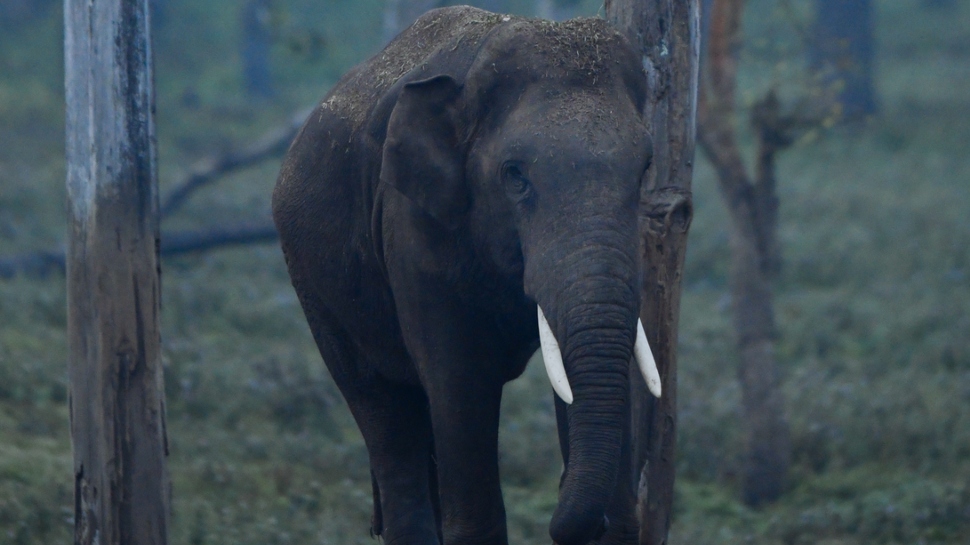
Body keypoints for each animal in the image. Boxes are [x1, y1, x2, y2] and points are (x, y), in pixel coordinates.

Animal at [272, 6, 663, 545]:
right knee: (384, 411)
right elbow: (458, 381)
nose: (557, 515)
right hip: (315, 288)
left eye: (645, 167)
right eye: (514, 175)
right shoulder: (415, 228)